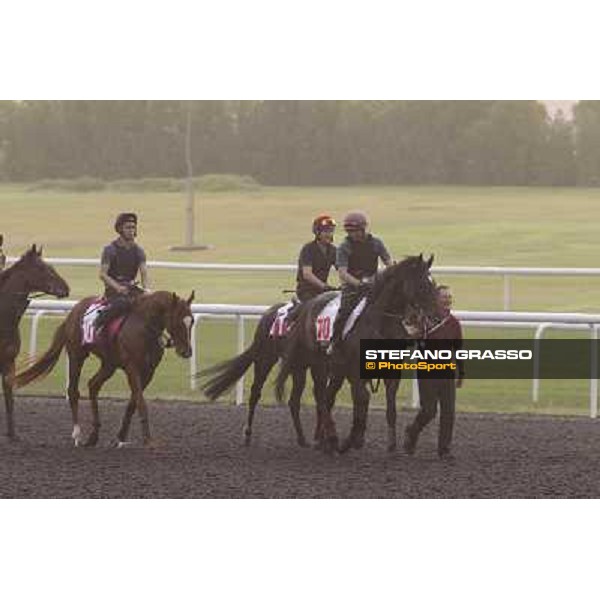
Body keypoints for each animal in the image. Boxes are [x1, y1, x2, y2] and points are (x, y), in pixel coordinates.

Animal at [14, 288, 193, 448]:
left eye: (191, 321)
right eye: (178, 321)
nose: (187, 351)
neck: (144, 326)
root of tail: (73, 312)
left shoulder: (149, 371)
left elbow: (133, 403)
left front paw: (120, 437)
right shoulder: (132, 368)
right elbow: (141, 402)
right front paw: (149, 440)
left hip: (109, 364)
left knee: (93, 385)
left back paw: (93, 436)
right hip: (76, 354)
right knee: (73, 391)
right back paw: (78, 435)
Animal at [276, 254, 436, 454]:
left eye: (433, 284)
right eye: (422, 284)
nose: (432, 317)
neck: (381, 325)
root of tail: (307, 306)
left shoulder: (391, 372)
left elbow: (390, 405)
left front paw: (391, 444)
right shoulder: (355, 371)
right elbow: (363, 399)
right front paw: (353, 439)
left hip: (336, 369)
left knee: (327, 397)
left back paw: (325, 440)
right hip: (318, 363)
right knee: (321, 395)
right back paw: (331, 438)